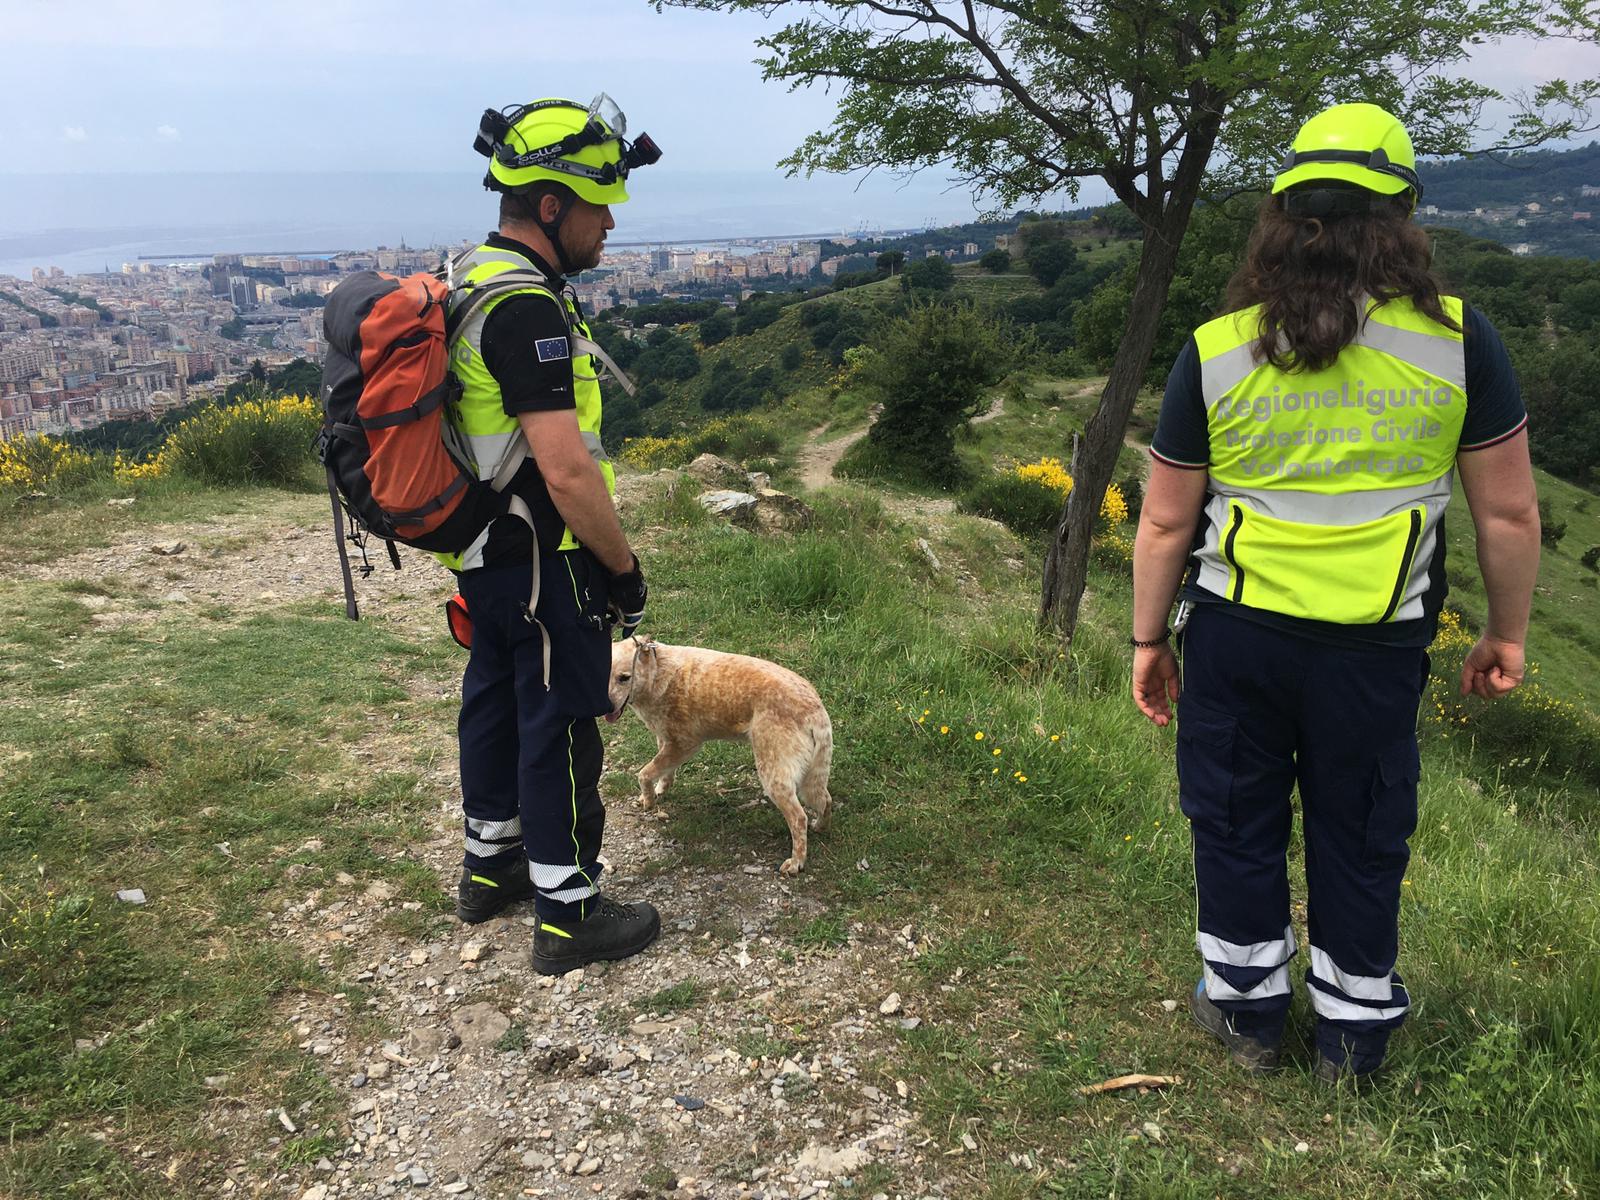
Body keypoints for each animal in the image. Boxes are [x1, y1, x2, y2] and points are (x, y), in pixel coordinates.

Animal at [601, 633, 838, 876]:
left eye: (624, 678)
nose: (605, 708)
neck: (657, 671)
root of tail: (815, 711)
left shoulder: (685, 744)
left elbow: (644, 774)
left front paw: (649, 800)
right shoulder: (668, 741)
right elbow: (664, 773)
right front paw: (658, 791)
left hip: (773, 775)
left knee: (799, 818)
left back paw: (796, 862)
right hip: (813, 776)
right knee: (825, 800)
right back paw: (820, 827)